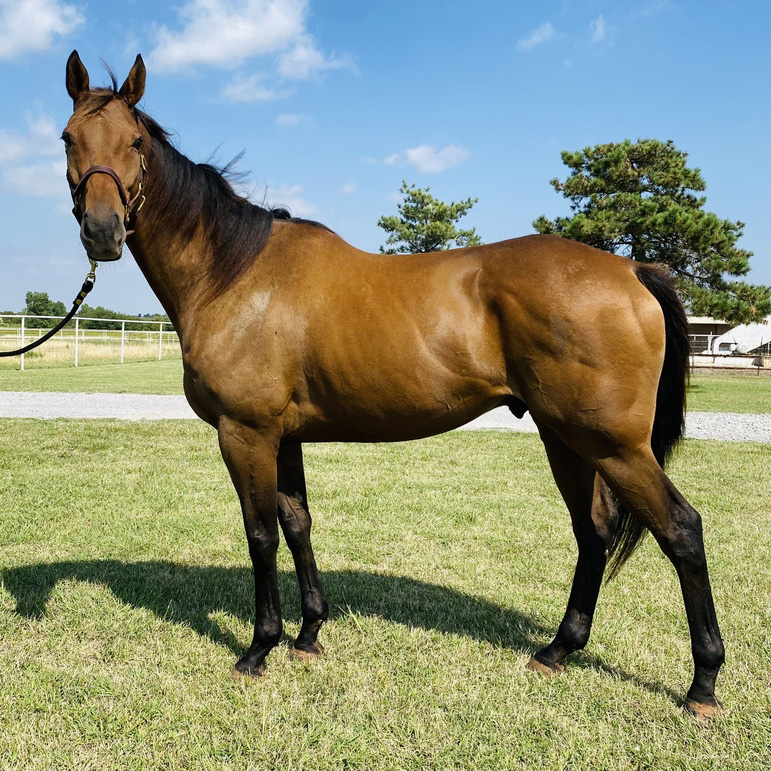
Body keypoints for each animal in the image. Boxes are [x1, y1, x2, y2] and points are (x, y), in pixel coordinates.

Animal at [60, 52, 724, 716]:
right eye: (68, 138)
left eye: (136, 142)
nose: (102, 231)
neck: (233, 274)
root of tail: (633, 269)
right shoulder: (285, 437)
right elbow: (297, 525)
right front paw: (309, 635)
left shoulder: (245, 433)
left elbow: (260, 535)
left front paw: (259, 649)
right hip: (567, 439)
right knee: (594, 533)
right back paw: (558, 650)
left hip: (614, 446)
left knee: (681, 530)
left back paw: (703, 684)